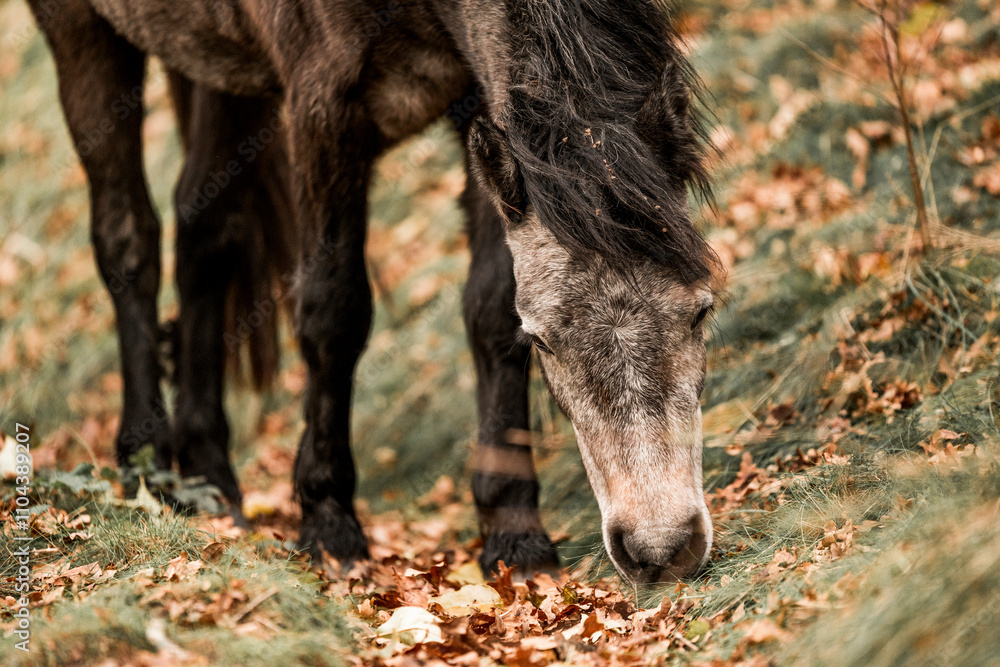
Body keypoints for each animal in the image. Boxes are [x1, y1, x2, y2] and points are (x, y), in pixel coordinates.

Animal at [28, 0, 717, 584]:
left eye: (701, 313)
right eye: (545, 343)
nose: (660, 549)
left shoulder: (479, 107)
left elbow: (490, 307)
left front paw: (515, 535)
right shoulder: (323, 109)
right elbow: (334, 313)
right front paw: (330, 526)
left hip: (217, 70)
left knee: (204, 229)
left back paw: (210, 485)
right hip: (81, 33)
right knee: (128, 240)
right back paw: (145, 465)